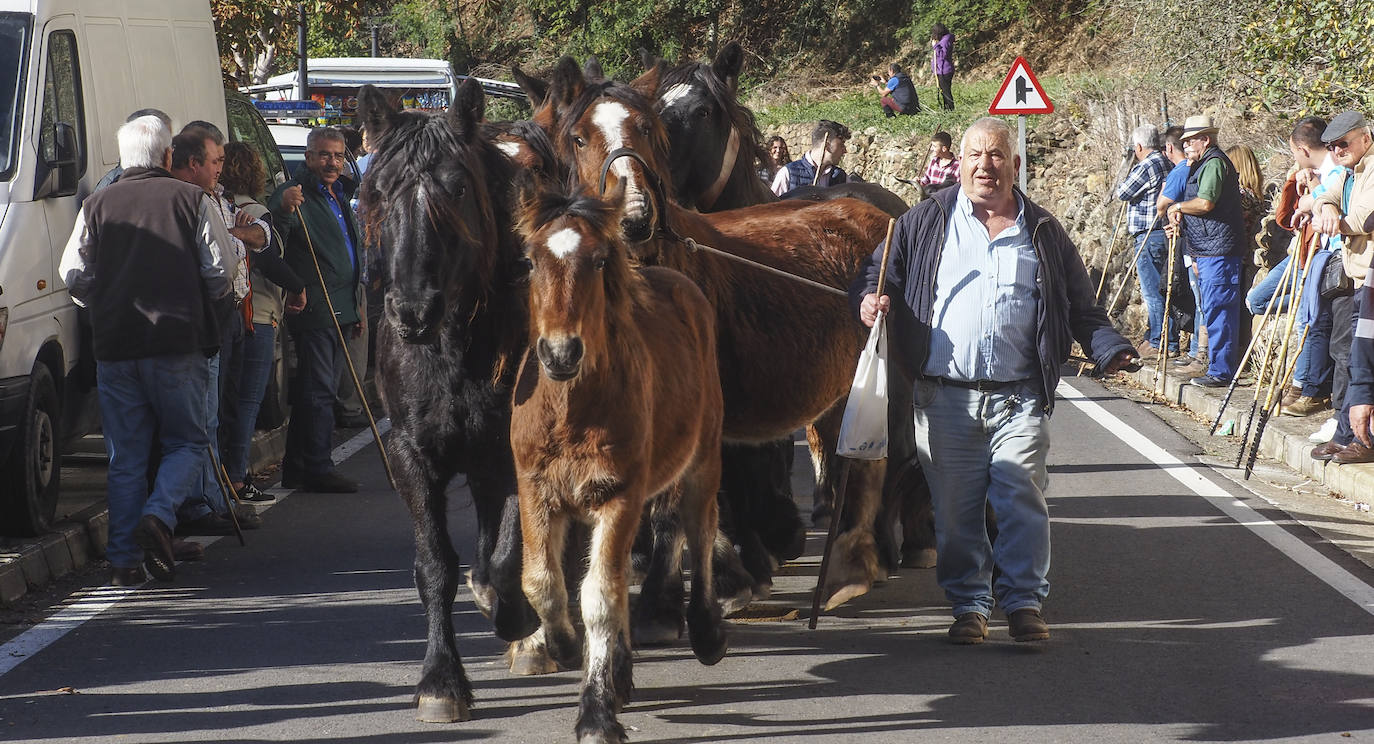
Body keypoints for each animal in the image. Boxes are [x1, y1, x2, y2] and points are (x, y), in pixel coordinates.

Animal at [357, 79, 538, 720]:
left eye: (457, 188)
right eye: (378, 191)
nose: (412, 311)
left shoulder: (513, 452)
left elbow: (507, 559)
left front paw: (518, 620)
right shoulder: (412, 455)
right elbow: (436, 564)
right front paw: (440, 679)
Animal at [513, 181, 730, 742]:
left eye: (597, 260)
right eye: (530, 260)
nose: (560, 353)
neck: (571, 412)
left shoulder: (619, 495)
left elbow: (600, 595)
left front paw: (595, 712)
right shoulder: (535, 489)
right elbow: (543, 582)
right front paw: (565, 646)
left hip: (703, 456)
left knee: (698, 526)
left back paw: (706, 632)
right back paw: (622, 672)